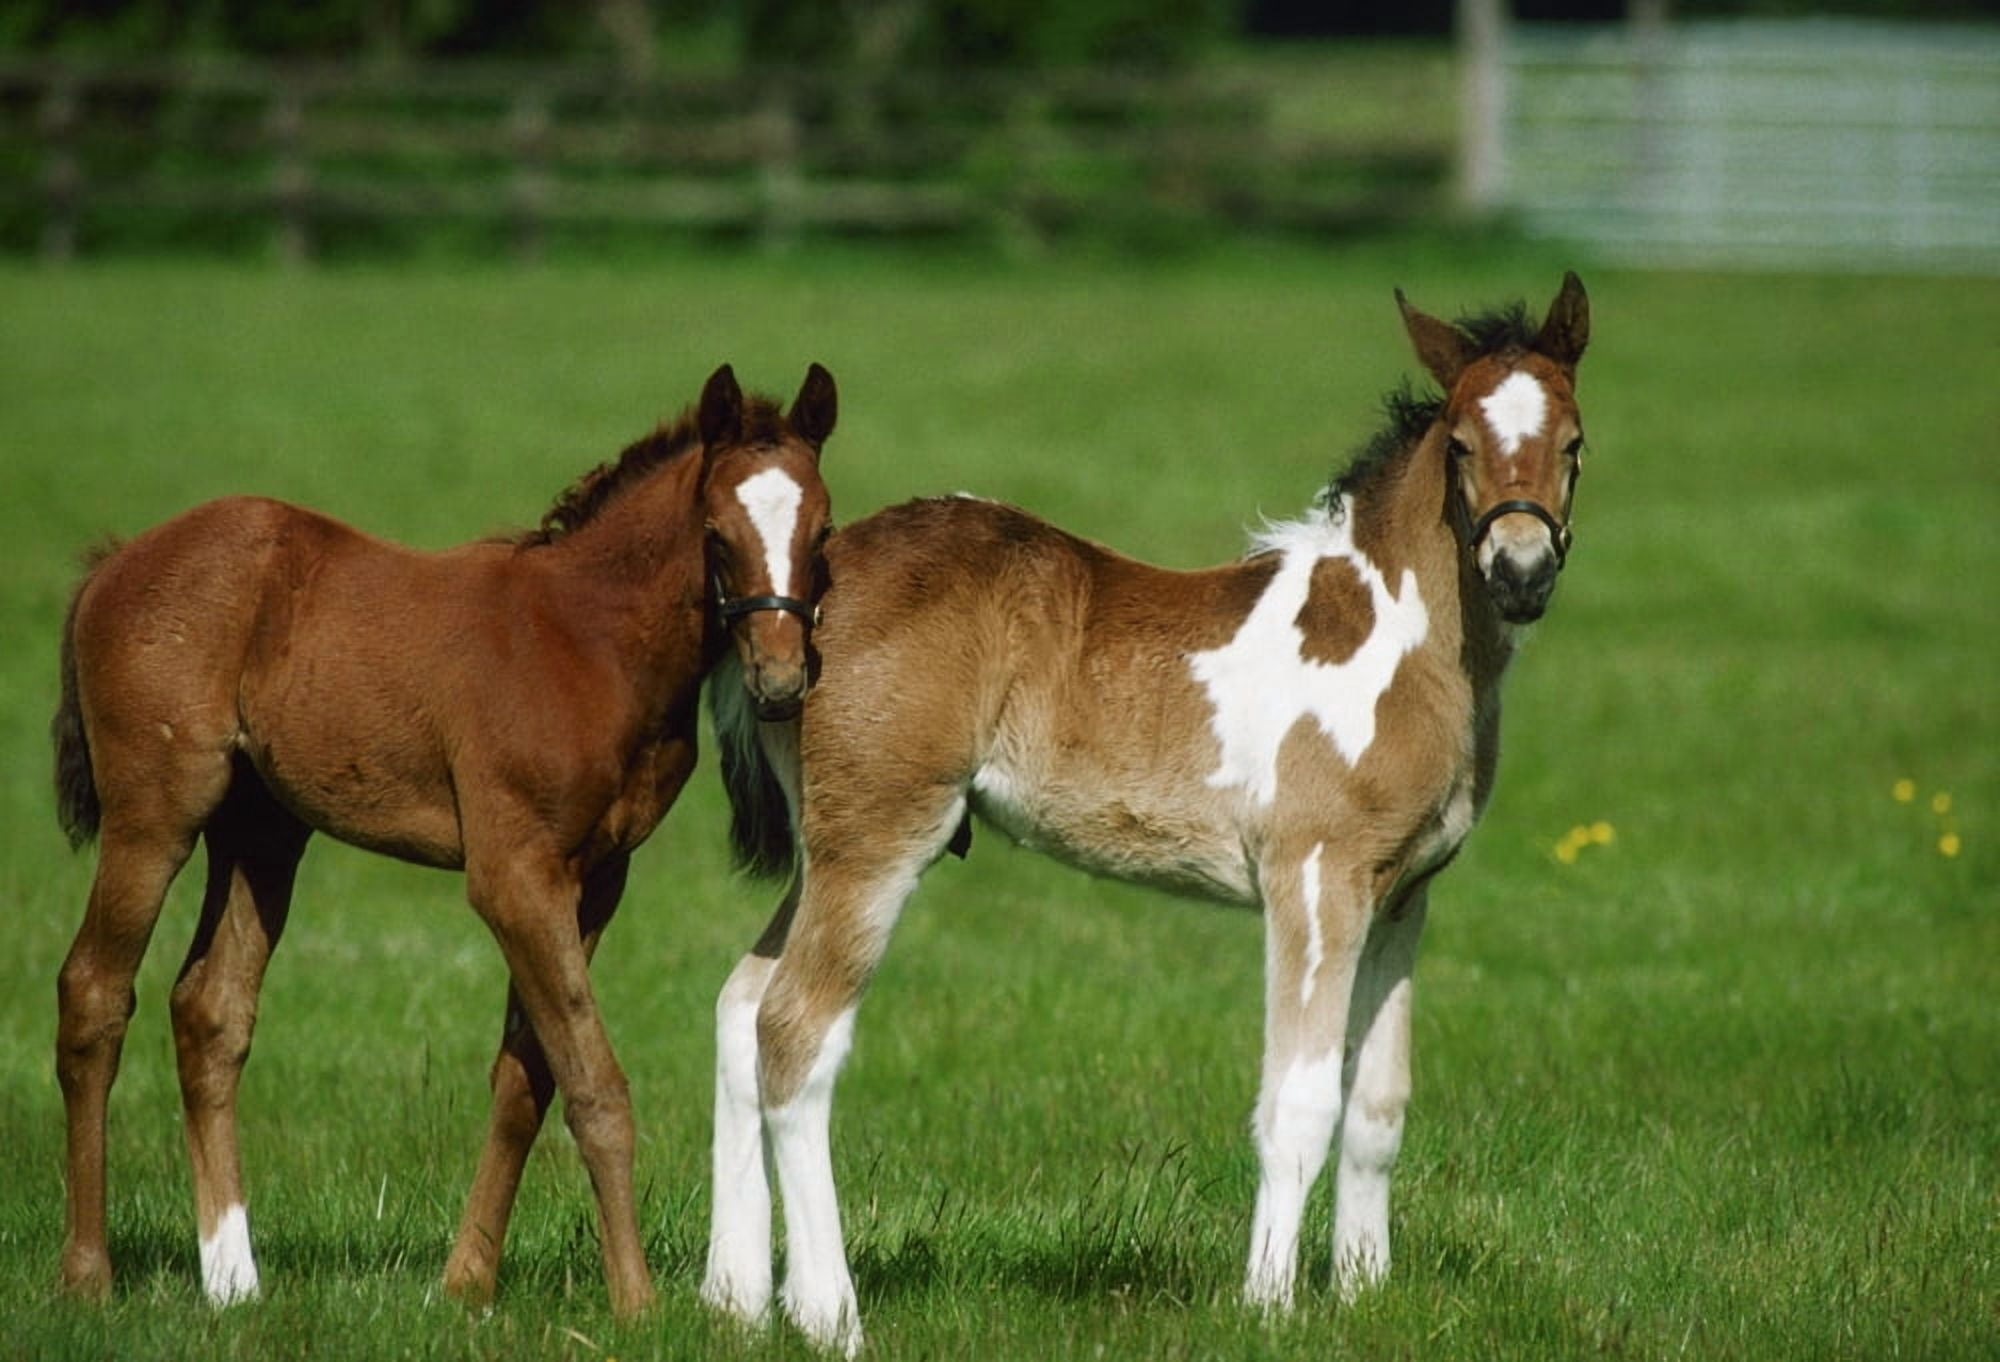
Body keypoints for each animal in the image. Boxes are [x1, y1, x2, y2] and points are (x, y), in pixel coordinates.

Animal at [50, 362, 838, 1317]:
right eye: (718, 535)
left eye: (824, 530)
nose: (780, 681)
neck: (588, 639)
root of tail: (114, 562)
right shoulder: (513, 875)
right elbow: (593, 1084)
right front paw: (637, 1301)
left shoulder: (596, 878)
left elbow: (526, 1077)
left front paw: (466, 1282)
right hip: (154, 817)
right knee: (94, 994)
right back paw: (88, 1273)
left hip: (261, 833)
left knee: (210, 1011)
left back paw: (234, 1280)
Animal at [699, 277, 1591, 1352]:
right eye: (1459, 443)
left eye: (1575, 441)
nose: (1519, 572)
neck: (1392, 638)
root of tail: (791, 608)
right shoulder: (1314, 877)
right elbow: (1297, 1103)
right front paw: (1268, 1305)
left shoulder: (1400, 895)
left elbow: (1375, 1106)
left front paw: (1363, 1294)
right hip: (875, 843)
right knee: (795, 1030)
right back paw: (829, 1315)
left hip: (820, 849)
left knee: (741, 1008)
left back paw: (735, 1301)